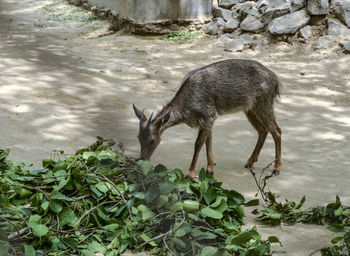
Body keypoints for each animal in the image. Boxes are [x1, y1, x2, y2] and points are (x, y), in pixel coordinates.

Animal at [132, 58, 282, 178]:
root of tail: (277, 81)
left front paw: (190, 173)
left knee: (277, 130)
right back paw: (250, 162)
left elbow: (198, 143)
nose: (141, 160)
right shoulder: (207, 119)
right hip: (250, 108)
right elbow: (208, 141)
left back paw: (276, 169)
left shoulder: (208, 114)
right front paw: (210, 168)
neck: (189, 108)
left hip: (264, 103)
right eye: (138, 137)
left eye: (152, 140)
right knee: (263, 130)